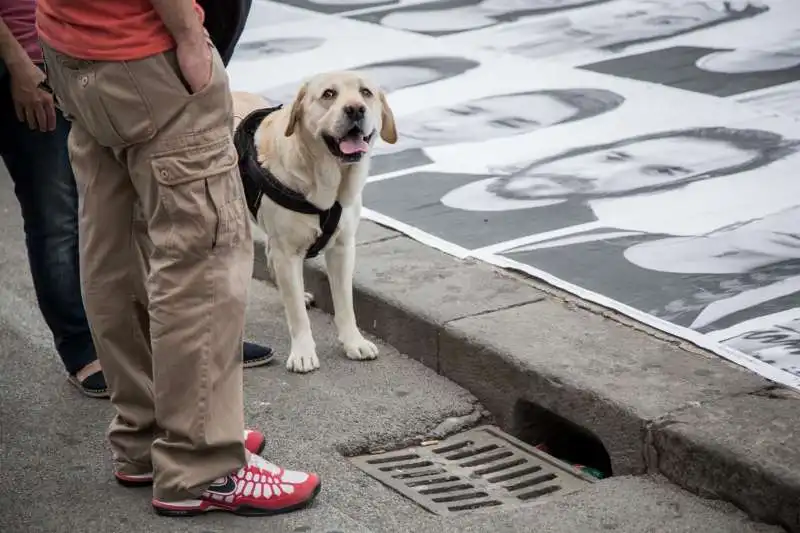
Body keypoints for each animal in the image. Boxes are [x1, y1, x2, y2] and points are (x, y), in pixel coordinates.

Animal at [231, 70, 396, 372]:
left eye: (366, 93)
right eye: (329, 94)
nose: (355, 109)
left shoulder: (343, 248)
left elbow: (345, 303)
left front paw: (353, 342)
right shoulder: (288, 253)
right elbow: (296, 313)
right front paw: (303, 352)